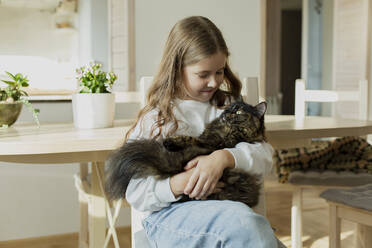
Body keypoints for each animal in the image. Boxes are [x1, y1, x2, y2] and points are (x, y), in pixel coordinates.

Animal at [104, 101, 268, 207]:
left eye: (239, 111)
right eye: (228, 107)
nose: (226, 112)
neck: (227, 129)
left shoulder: (210, 143)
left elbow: (189, 138)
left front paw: (170, 141)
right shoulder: (207, 139)